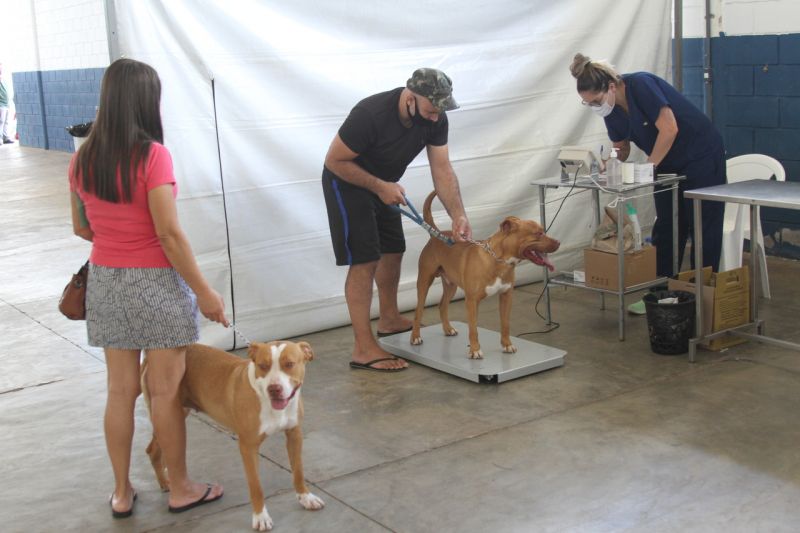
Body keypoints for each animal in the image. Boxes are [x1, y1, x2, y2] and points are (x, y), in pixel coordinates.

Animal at [142, 341, 324, 531]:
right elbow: (256, 486)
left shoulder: (294, 435)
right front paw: (260, 516)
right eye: (263, 365)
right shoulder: (248, 447)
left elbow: (298, 471)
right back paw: (165, 482)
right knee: (153, 450)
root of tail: (148, 359)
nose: (274, 389)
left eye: (289, 364)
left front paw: (306, 497)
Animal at [411, 191, 560, 358]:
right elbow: (473, 329)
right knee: (418, 311)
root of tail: (436, 235)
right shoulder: (472, 301)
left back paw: (448, 329)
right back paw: (415, 337)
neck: (499, 261)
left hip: (451, 286)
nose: (558, 242)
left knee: (442, 305)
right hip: (424, 282)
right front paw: (475, 350)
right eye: (538, 233)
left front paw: (507, 345)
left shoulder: (506, 296)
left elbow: (505, 324)